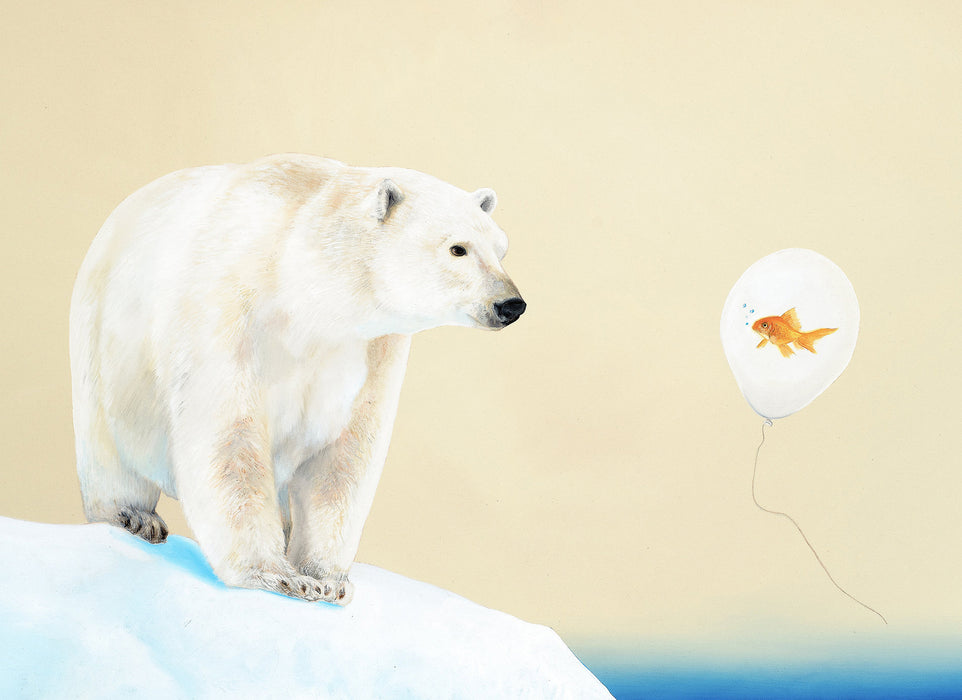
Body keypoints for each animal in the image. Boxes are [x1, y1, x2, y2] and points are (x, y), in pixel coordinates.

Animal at [69, 154, 525, 604]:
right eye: (458, 248)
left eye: (500, 248)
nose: (510, 304)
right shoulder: (227, 311)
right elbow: (230, 438)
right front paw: (277, 576)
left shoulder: (372, 351)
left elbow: (344, 460)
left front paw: (327, 580)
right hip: (105, 345)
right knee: (110, 449)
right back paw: (133, 516)